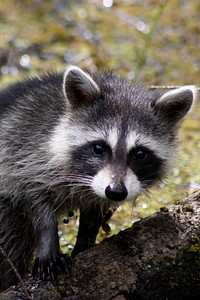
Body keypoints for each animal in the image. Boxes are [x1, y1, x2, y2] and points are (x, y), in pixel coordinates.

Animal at [0, 65, 196, 290]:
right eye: (98, 148)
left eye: (140, 153)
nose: (116, 191)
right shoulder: (24, 151)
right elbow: (36, 199)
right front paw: (48, 243)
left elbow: (93, 212)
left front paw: (85, 241)